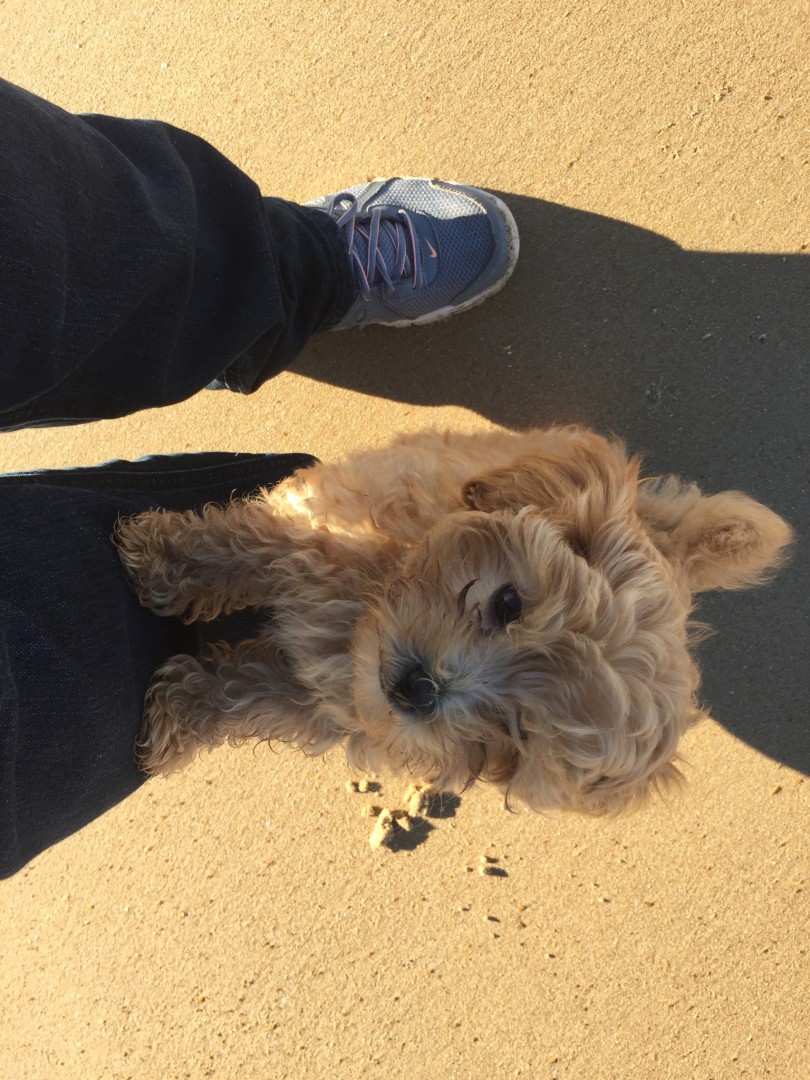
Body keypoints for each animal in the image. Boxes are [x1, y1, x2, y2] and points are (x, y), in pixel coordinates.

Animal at [115, 425, 792, 815]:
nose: (419, 689)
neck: (366, 609)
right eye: (509, 604)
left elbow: (247, 695)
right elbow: (243, 546)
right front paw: (163, 558)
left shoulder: (328, 706)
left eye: (520, 731)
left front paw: (180, 711)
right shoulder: (315, 527)